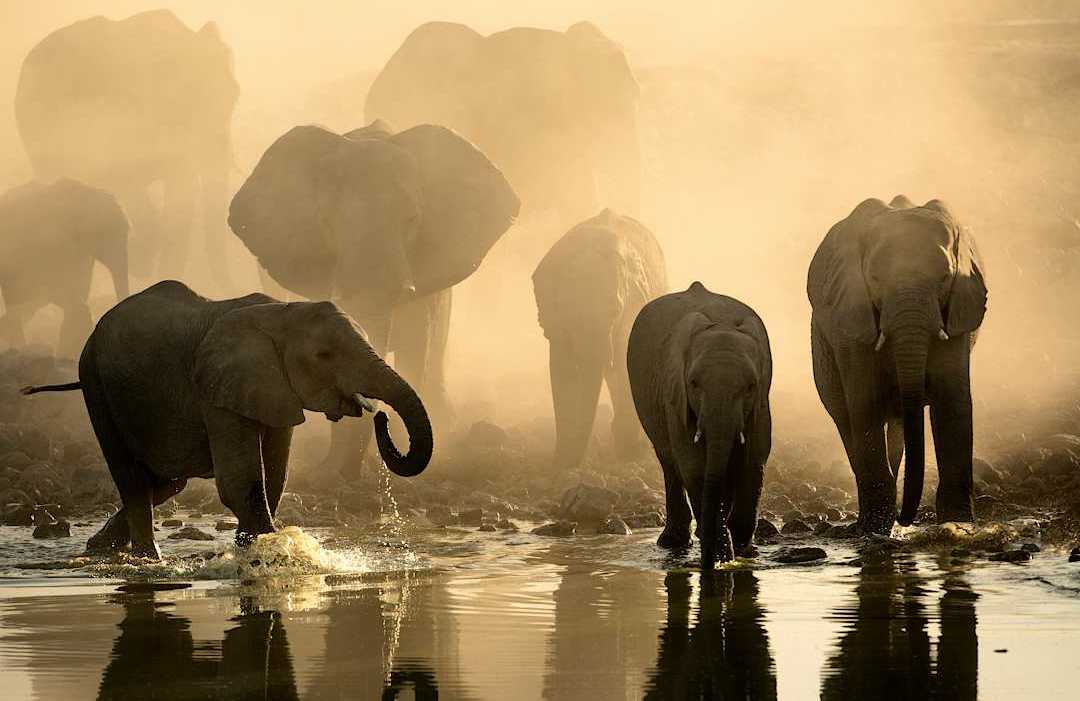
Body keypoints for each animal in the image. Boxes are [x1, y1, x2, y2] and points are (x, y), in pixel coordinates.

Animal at [20, 280, 431, 559]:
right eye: (324, 355)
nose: (380, 416)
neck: (283, 311)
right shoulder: (218, 388)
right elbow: (241, 483)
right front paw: (267, 554)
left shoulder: (273, 389)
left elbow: (275, 477)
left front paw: (253, 549)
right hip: (96, 383)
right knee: (134, 481)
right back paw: (146, 560)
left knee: (166, 483)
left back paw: (98, 548)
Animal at [532, 208, 667, 470]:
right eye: (568, 312)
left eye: (614, 312)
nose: (575, 463)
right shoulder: (555, 322)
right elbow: (562, 369)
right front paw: (561, 462)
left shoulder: (632, 307)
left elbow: (626, 359)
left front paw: (630, 453)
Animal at [627, 282, 773, 568]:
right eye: (694, 383)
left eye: (750, 386)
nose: (708, 562)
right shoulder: (675, 396)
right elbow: (693, 464)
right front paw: (722, 556)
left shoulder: (762, 402)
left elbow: (754, 459)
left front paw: (742, 551)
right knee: (669, 461)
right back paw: (674, 542)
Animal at [808, 196, 988, 533]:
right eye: (875, 279)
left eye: (945, 278)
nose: (906, 519)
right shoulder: (853, 317)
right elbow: (864, 404)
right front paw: (875, 531)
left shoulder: (957, 311)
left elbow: (953, 402)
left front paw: (958, 526)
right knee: (844, 417)